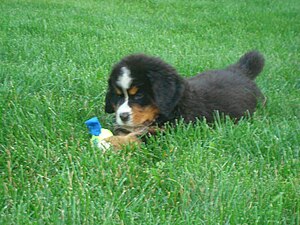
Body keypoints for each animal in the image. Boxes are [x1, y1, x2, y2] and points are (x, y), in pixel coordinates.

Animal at [103, 51, 264, 149]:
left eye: (139, 95)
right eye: (118, 95)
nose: (123, 116)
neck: (175, 106)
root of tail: (240, 70)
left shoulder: (173, 130)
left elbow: (142, 135)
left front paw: (112, 143)